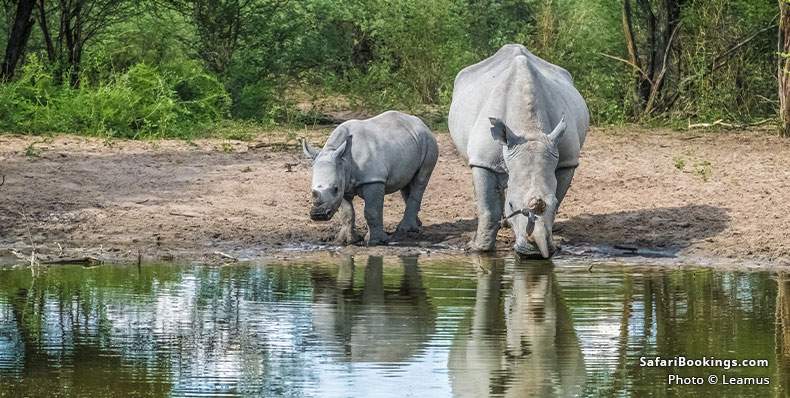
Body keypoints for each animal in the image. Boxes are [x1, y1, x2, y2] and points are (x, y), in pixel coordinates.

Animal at [302, 110, 440, 244]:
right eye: (311, 190)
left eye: (335, 188)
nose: (318, 215)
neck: (344, 160)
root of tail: (421, 123)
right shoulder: (344, 182)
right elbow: (347, 213)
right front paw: (345, 241)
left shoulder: (373, 179)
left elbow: (371, 211)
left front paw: (376, 241)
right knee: (406, 184)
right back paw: (416, 225)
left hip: (428, 141)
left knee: (420, 180)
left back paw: (405, 230)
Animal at [452, 43, 588, 258]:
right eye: (512, 205)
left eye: (554, 204)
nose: (535, 253)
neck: (529, 129)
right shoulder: (483, 161)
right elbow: (487, 209)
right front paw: (477, 249)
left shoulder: (567, 161)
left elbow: (558, 194)